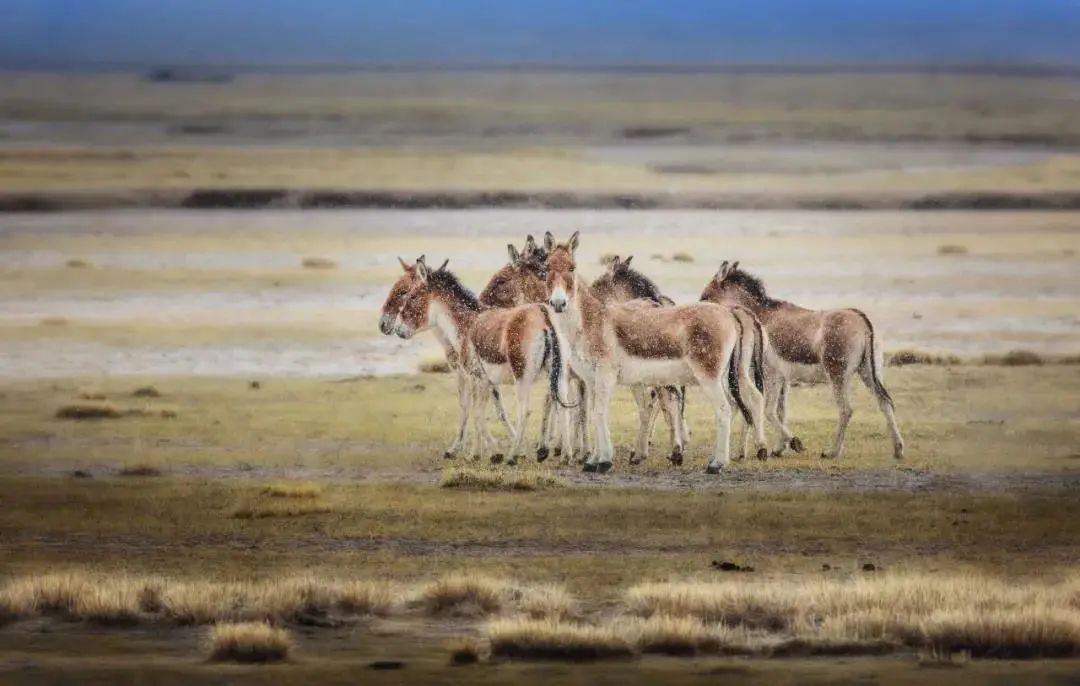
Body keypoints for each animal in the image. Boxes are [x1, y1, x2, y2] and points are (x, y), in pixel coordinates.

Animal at [544, 233, 764, 475]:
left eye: (572, 268)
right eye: (546, 267)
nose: (558, 303)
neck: (592, 321)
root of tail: (728, 312)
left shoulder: (605, 375)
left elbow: (600, 413)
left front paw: (604, 461)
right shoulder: (591, 380)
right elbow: (593, 414)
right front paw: (592, 460)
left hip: (709, 377)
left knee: (724, 410)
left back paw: (717, 464)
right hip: (733, 374)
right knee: (742, 402)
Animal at [699, 262, 902, 462]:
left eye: (706, 296)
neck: (761, 316)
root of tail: (861, 319)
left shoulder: (771, 375)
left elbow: (768, 410)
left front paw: (792, 443)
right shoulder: (783, 379)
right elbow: (780, 411)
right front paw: (777, 448)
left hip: (838, 376)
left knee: (846, 410)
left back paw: (832, 452)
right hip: (869, 373)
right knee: (885, 402)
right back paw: (898, 449)